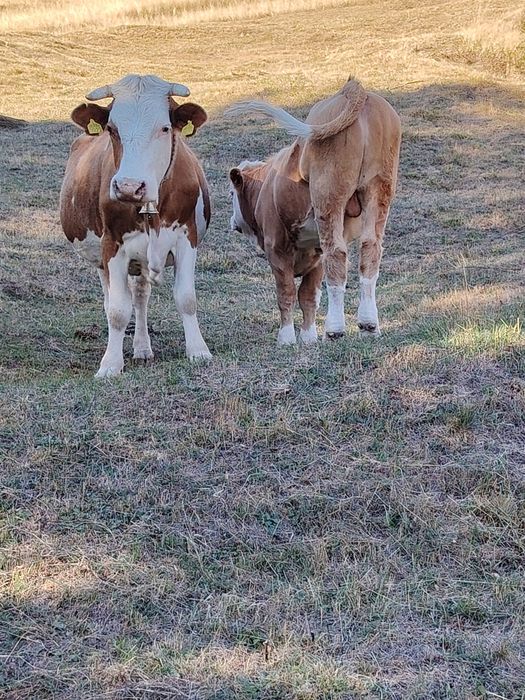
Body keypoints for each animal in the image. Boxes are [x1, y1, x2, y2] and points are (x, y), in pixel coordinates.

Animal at [60, 74, 212, 378]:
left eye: (164, 128)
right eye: (111, 129)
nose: (129, 187)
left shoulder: (187, 238)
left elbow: (186, 298)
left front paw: (198, 351)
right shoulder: (112, 246)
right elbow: (118, 310)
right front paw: (110, 364)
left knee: (141, 296)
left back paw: (142, 349)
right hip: (102, 260)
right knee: (113, 300)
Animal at [227, 78, 401, 344]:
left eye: (230, 193)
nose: (232, 221)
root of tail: (355, 90)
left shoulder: (276, 248)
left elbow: (287, 293)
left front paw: (287, 338)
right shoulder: (314, 257)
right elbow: (308, 296)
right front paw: (309, 338)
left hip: (329, 195)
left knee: (337, 253)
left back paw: (335, 329)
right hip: (379, 189)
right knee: (370, 250)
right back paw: (369, 324)